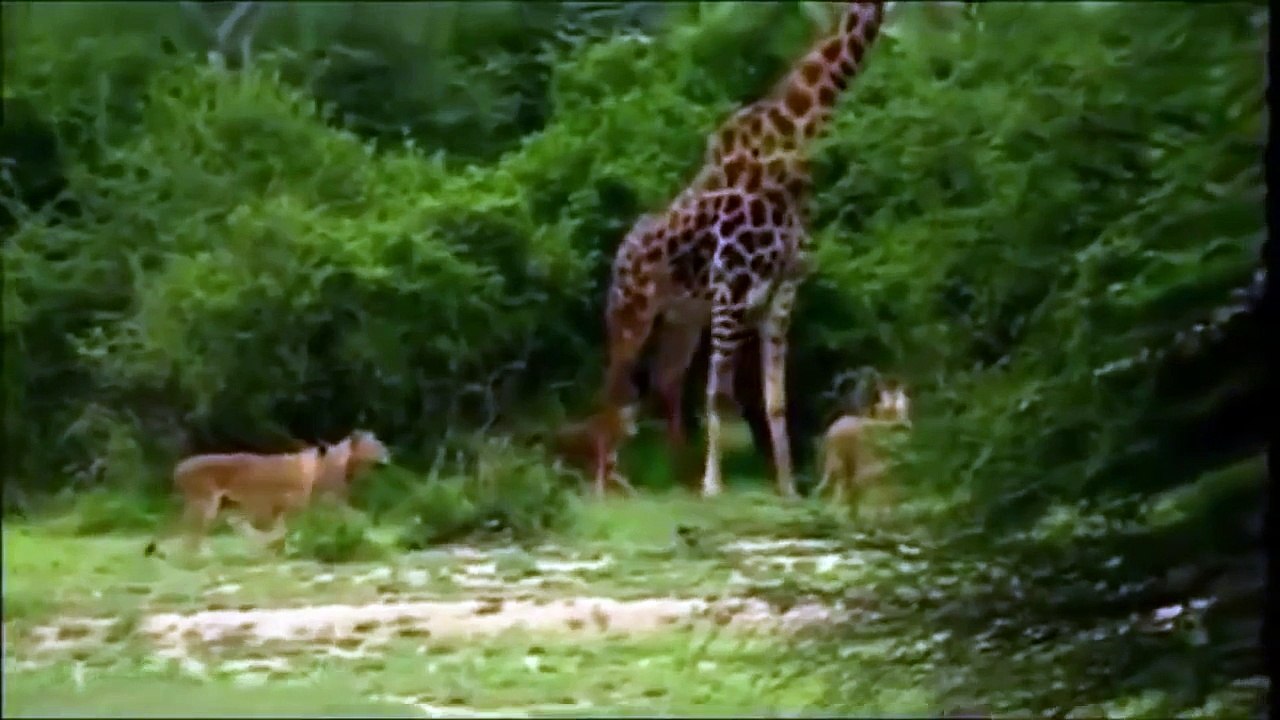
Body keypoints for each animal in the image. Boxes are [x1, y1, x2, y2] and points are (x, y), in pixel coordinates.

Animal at [143, 429, 390, 557]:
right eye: (375, 445)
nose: (388, 453)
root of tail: (179, 468)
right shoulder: (296, 504)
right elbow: (283, 530)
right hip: (205, 505)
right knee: (190, 536)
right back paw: (198, 556)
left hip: (219, 507)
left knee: (186, 531)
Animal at [594, 1, 887, 499]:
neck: (796, 141)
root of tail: (621, 253)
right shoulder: (732, 280)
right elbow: (720, 393)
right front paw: (714, 486)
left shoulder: (784, 286)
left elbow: (774, 399)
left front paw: (787, 488)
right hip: (632, 312)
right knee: (616, 385)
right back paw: (606, 483)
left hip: (683, 318)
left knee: (665, 380)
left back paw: (676, 475)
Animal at [812, 376, 912, 507]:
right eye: (886, 409)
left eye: (901, 406)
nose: (903, 425)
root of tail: (832, 427)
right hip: (840, 464)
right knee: (838, 490)